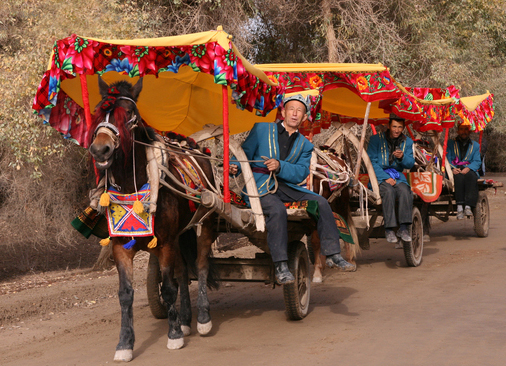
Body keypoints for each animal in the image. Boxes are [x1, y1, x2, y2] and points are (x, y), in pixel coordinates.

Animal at [88, 76, 217, 362]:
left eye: (129, 114)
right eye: (99, 113)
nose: (100, 149)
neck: (132, 187)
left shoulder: (164, 243)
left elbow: (168, 288)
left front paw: (174, 335)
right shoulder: (120, 247)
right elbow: (125, 294)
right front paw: (125, 344)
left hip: (204, 223)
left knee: (201, 266)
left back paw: (203, 318)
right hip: (179, 235)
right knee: (183, 272)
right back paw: (185, 319)